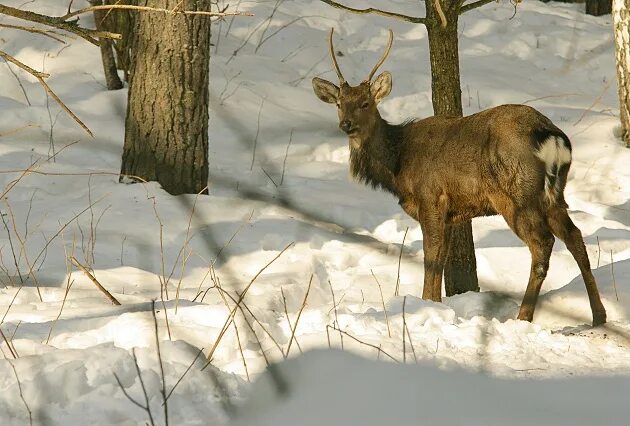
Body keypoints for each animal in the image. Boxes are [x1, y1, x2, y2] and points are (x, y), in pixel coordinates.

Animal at [312, 29, 608, 326]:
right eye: (339, 104)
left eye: (365, 103)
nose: (346, 125)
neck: (398, 166)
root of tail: (552, 136)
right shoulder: (451, 213)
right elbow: (441, 260)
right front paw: (436, 305)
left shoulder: (431, 197)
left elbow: (431, 259)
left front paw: (427, 306)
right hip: (554, 194)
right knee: (575, 237)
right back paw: (598, 315)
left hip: (516, 194)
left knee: (543, 243)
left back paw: (523, 316)